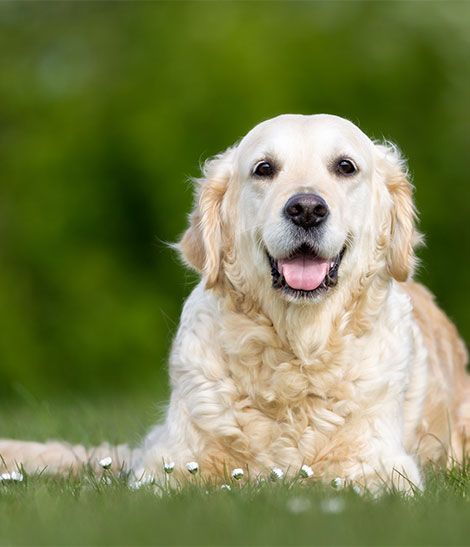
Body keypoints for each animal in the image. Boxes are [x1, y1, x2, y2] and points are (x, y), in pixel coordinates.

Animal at [0, 115, 470, 492]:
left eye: (345, 166)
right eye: (264, 169)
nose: (306, 208)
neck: (296, 351)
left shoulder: (380, 465)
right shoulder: (165, 462)